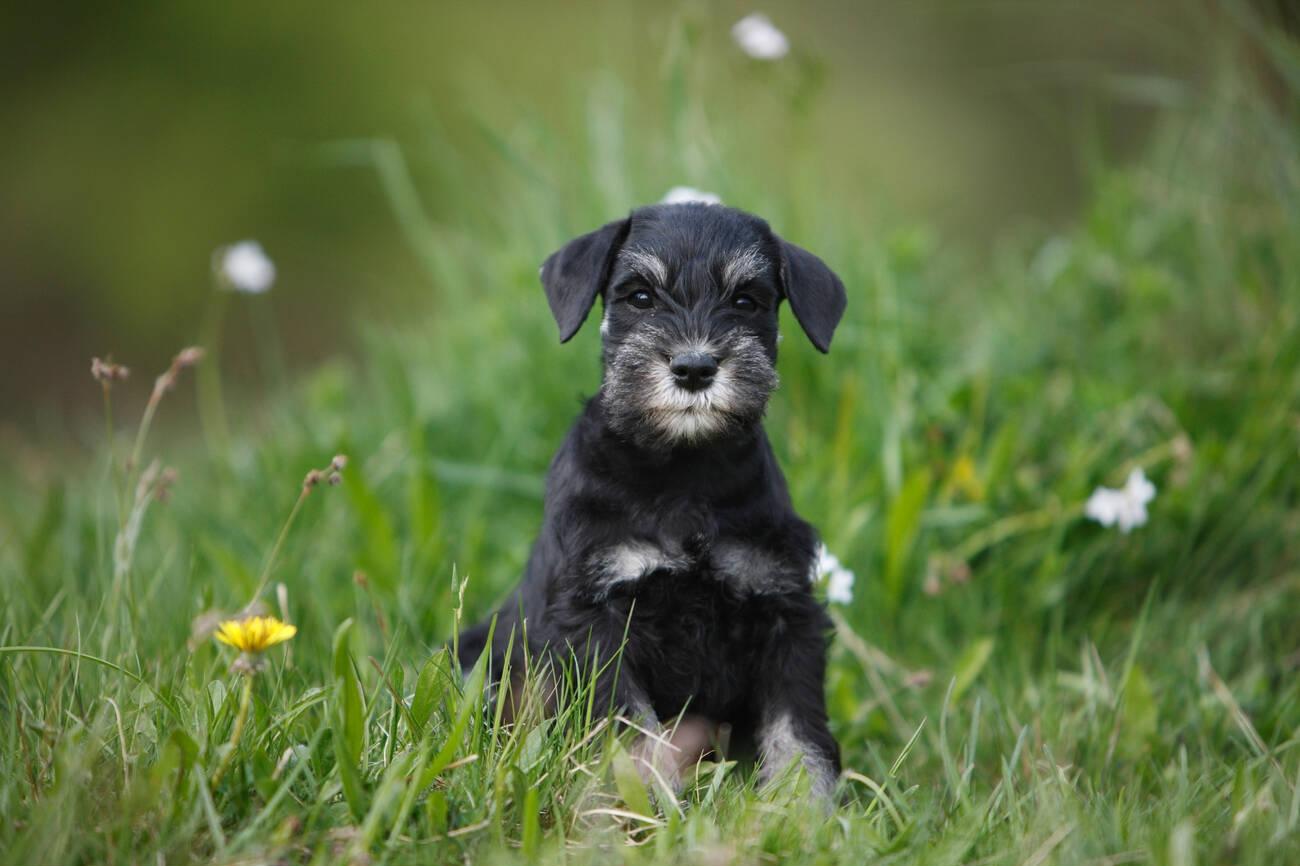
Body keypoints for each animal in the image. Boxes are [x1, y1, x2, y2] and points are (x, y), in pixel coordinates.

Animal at [462, 198, 847, 800]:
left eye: (746, 300)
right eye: (640, 296)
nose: (694, 368)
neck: (682, 473)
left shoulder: (786, 611)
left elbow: (797, 728)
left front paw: (805, 808)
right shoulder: (596, 623)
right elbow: (632, 730)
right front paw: (647, 803)